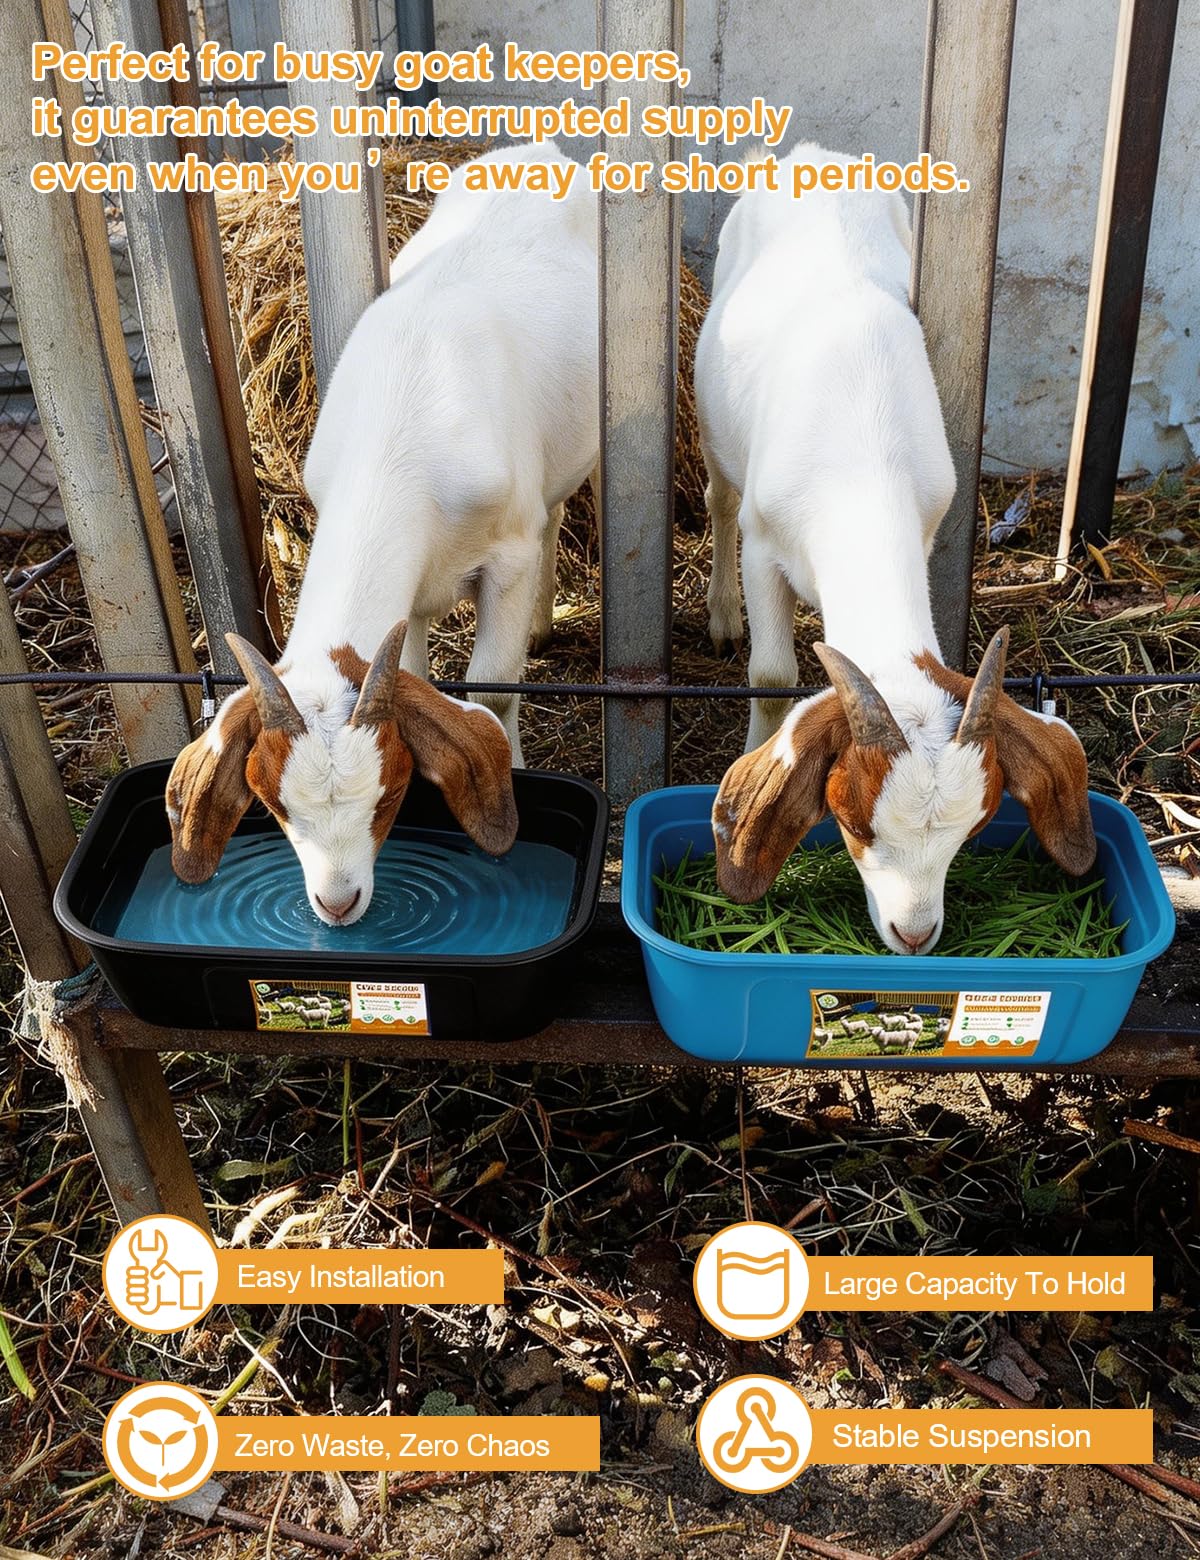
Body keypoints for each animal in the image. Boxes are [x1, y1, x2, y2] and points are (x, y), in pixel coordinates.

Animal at [166, 143, 599, 926]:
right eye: (274, 804)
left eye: (391, 793)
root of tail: (539, 150)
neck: (401, 433)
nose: (338, 903)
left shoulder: (507, 556)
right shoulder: (414, 591)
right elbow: (418, 670)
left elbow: (491, 692)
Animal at [696, 144, 1096, 955]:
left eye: (974, 828)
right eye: (850, 821)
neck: (861, 464)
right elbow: (771, 672)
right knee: (719, 497)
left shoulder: (928, 519)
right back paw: (720, 615)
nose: (914, 935)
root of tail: (809, 155)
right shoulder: (764, 543)